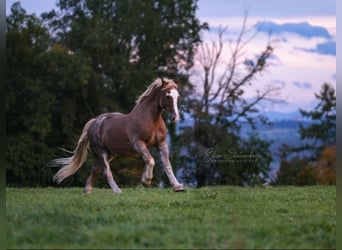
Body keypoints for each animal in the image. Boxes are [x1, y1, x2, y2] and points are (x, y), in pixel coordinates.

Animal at [51, 78, 184, 193]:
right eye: (167, 95)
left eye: (178, 96)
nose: (174, 117)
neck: (152, 120)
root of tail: (93, 122)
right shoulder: (138, 143)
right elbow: (150, 160)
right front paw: (146, 181)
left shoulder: (161, 143)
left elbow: (167, 165)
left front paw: (178, 187)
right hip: (102, 152)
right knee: (106, 172)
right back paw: (117, 191)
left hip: (110, 154)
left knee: (95, 168)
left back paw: (87, 190)